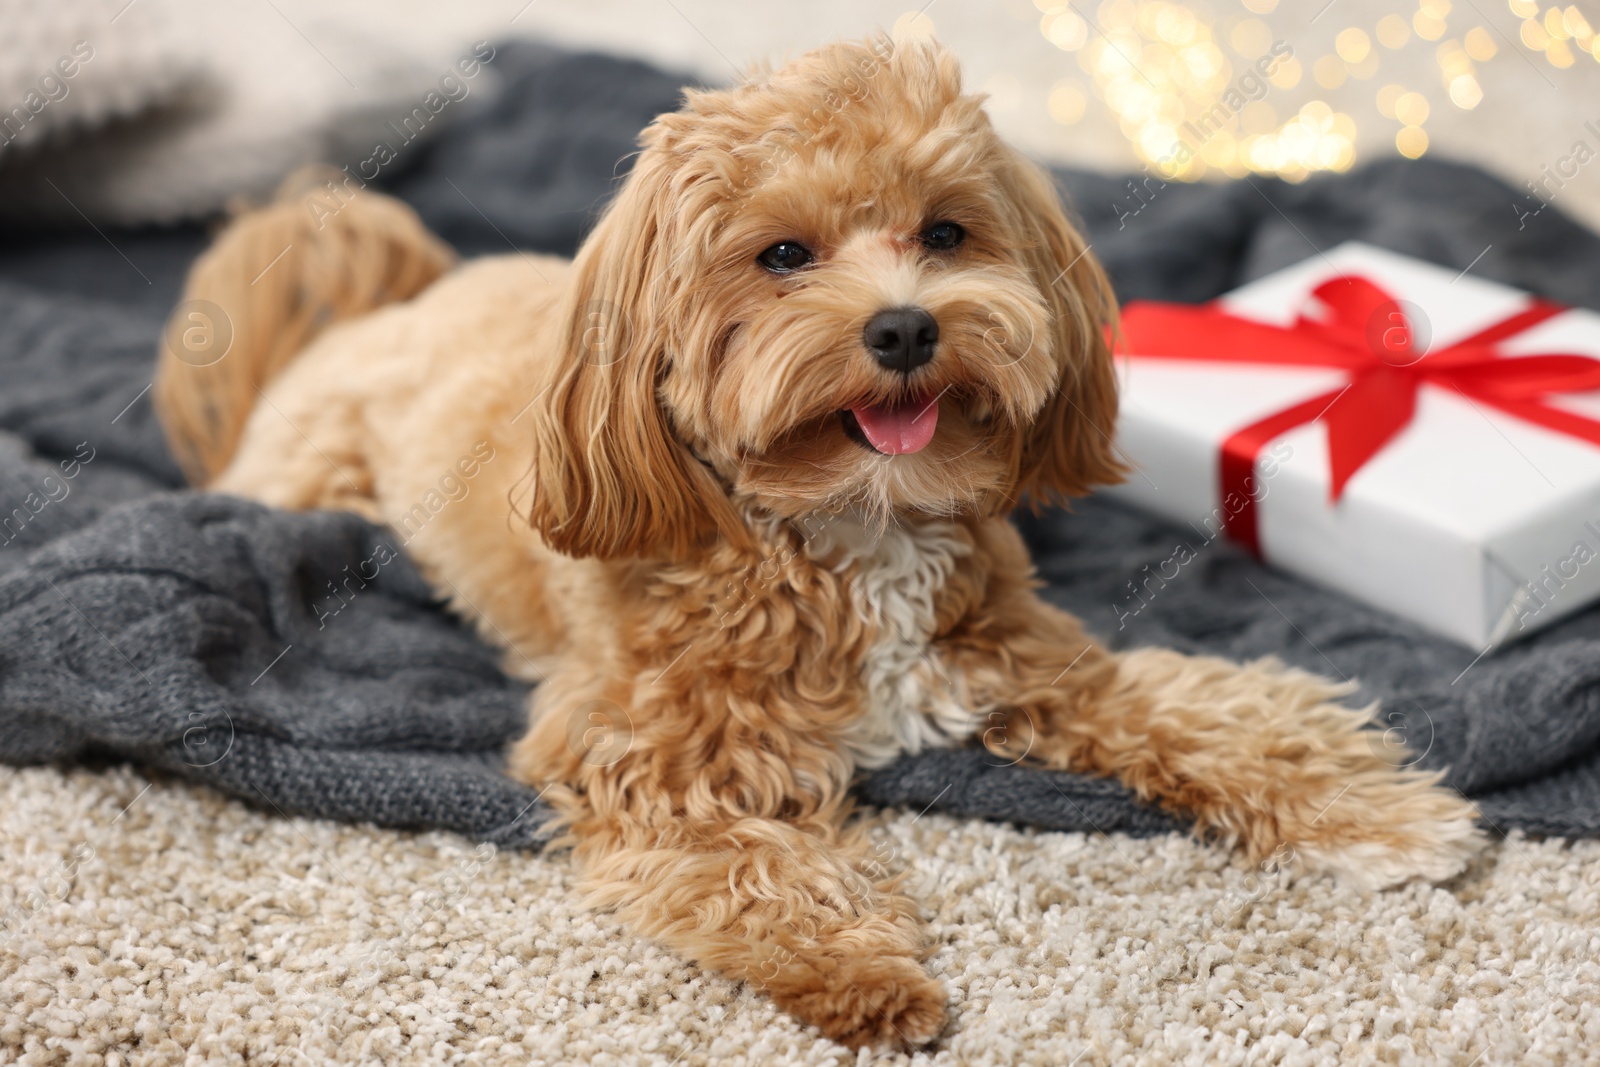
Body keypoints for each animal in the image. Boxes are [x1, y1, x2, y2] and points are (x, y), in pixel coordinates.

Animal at [156, 37, 1478, 1055]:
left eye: (945, 233)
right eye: (782, 254)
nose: (904, 328)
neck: (851, 524)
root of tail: (397, 301)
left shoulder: (1039, 658)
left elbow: (1209, 713)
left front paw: (1361, 809)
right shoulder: (639, 752)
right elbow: (749, 860)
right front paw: (858, 966)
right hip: (305, 480)